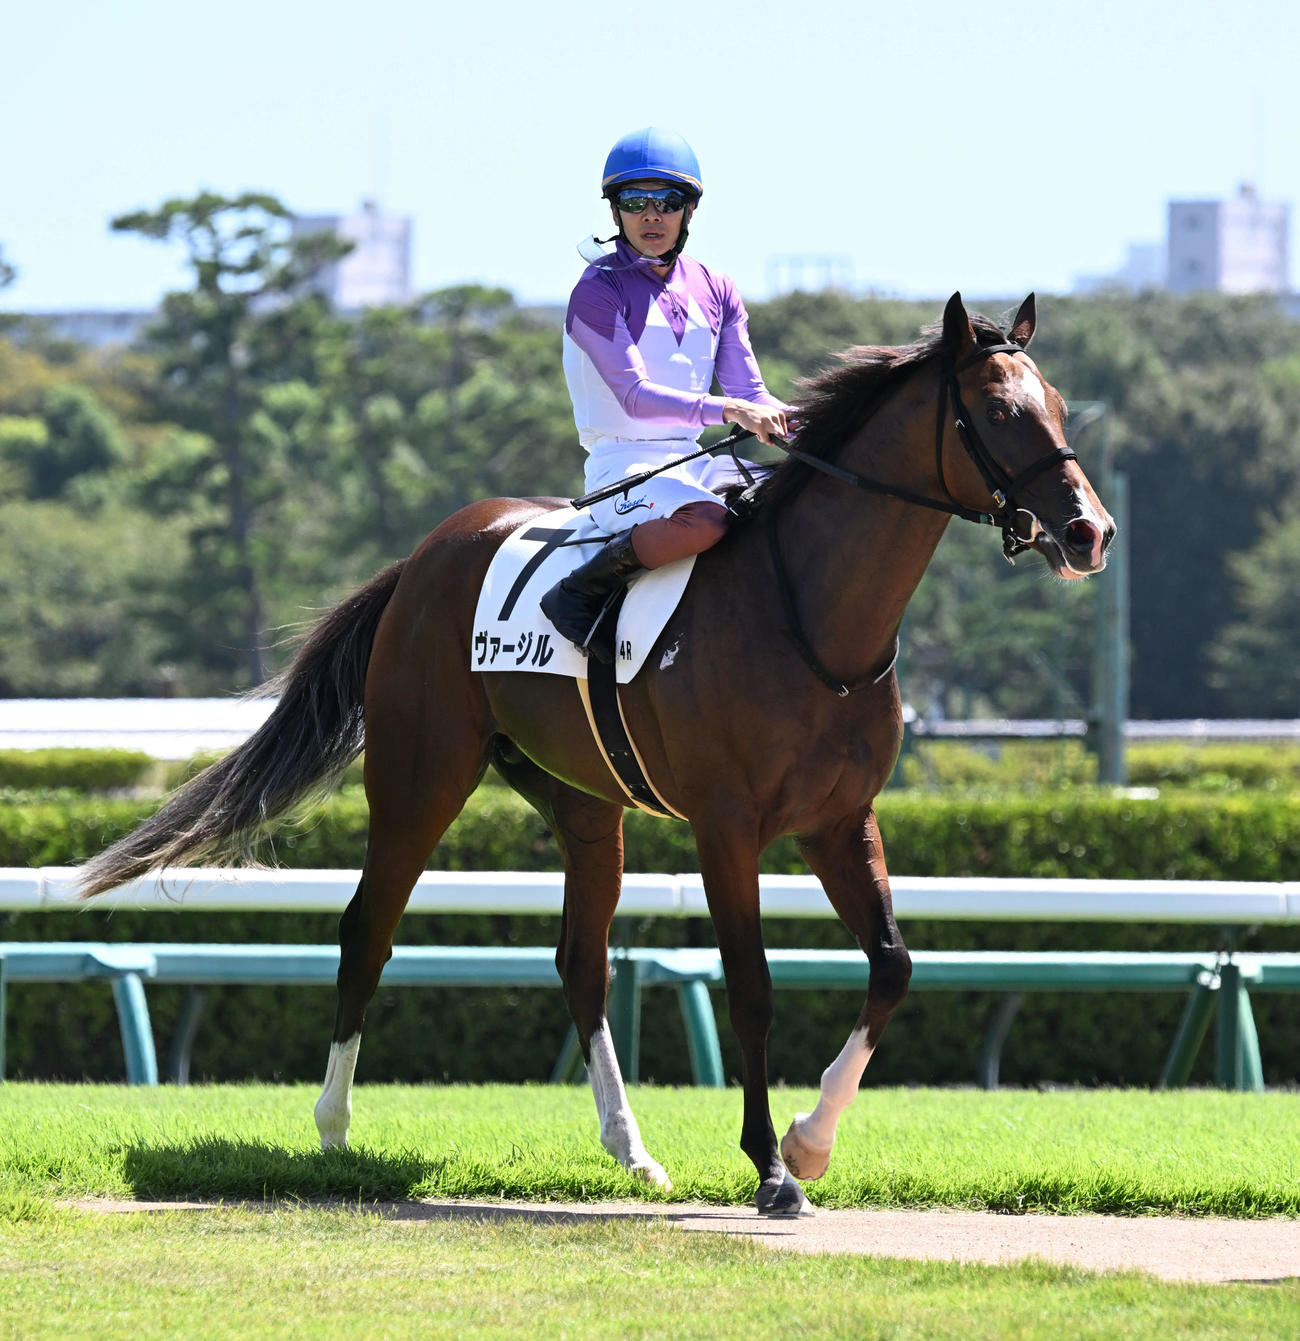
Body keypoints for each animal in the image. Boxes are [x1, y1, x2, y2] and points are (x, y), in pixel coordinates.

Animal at [81, 293, 1114, 1217]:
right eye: (998, 410)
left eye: (1060, 406)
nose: (1088, 531)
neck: (809, 616)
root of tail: (425, 556)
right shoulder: (726, 827)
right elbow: (751, 986)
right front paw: (771, 1166)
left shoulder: (837, 820)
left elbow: (893, 965)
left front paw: (812, 1142)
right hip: (419, 778)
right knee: (365, 927)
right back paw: (333, 1127)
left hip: (584, 803)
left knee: (582, 961)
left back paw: (632, 1148)